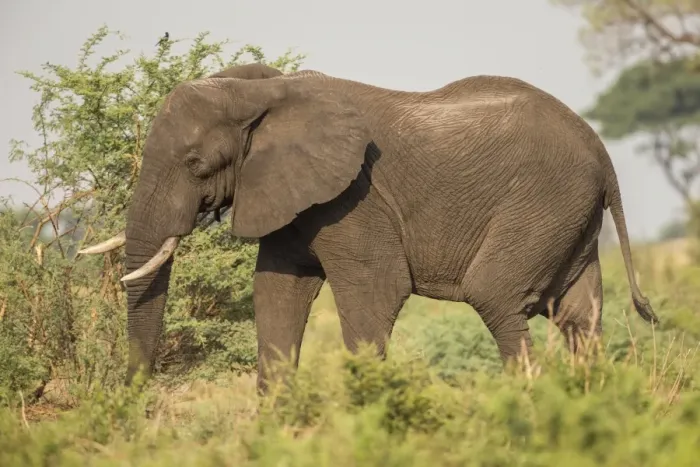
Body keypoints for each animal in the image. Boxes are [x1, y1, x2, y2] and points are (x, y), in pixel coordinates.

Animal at [80, 62, 659, 394]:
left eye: (196, 164)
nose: (131, 399)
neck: (263, 90)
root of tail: (600, 149)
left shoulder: (356, 196)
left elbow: (375, 291)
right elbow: (276, 292)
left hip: (544, 199)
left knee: (496, 295)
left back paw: (529, 410)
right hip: (569, 215)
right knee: (578, 314)